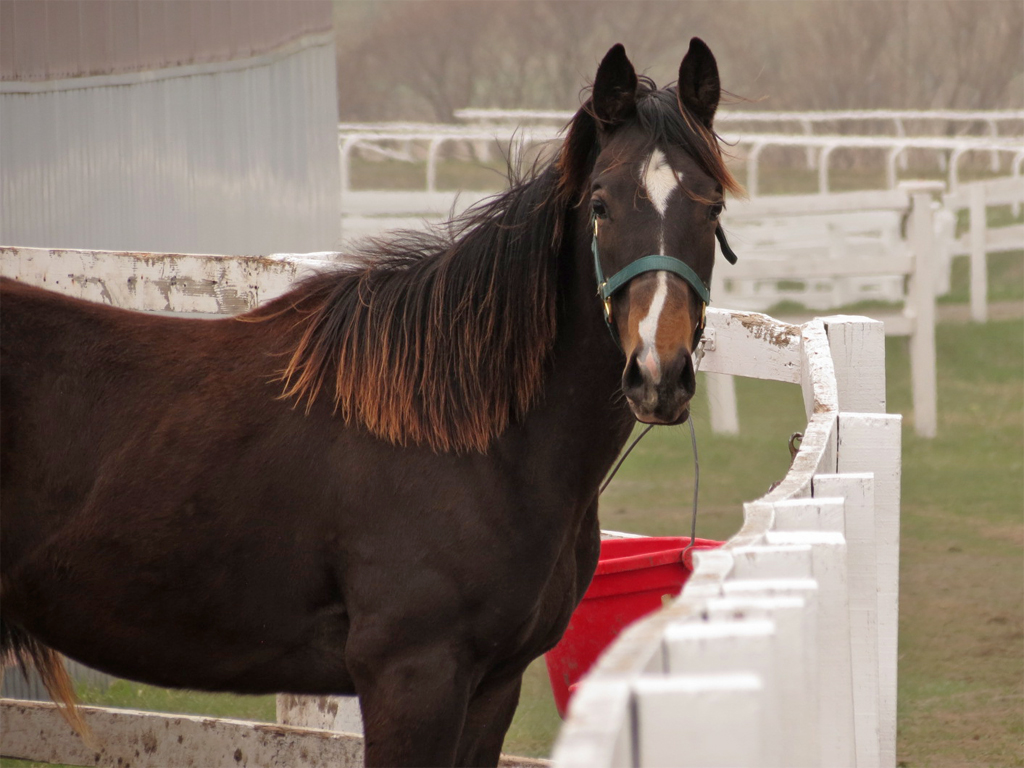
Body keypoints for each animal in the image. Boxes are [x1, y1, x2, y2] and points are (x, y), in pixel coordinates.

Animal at [0, 39, 737, 765]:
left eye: (713, 208)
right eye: (602, 204)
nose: (658, 374)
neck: (472, 439)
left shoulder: (493, 686)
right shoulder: (411, 678)